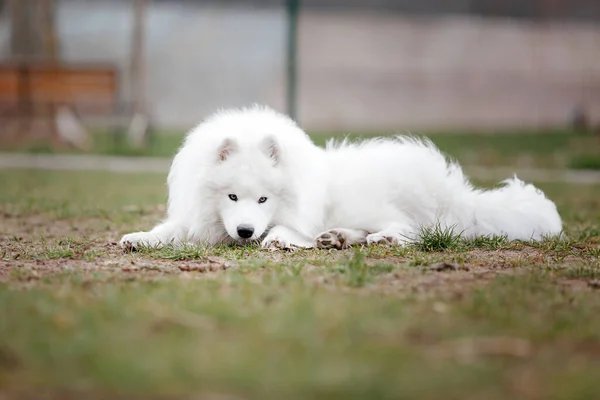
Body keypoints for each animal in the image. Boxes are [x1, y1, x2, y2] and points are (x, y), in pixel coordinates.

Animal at [119, 104, 560, 248]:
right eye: (231, 197)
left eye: (263, 199)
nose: (245, 231)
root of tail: (455, 190)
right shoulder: (198, 218)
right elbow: (168, 230)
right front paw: (138, 239)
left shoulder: (298, 214)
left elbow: (288, 229)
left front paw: (279, 239)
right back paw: (337, 238)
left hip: (378, 202)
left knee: (418, 229)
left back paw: (383, 238)